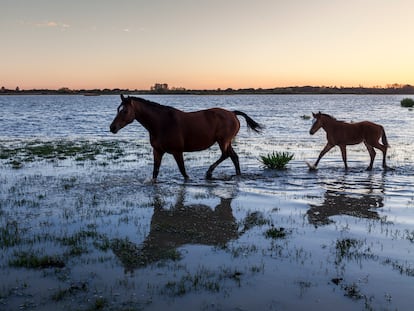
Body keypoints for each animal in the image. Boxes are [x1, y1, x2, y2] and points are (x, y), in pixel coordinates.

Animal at [110, 94, 262, 180]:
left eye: (124, 111)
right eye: (118, 109)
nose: (112, 127)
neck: (162, 123)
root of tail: (232, 113)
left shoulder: (177, 152)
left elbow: (183, 172)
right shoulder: (157, 151)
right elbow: (155, 172)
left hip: (223, 141)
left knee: (226, 155)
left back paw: (209, 172)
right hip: (226, 142)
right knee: (234, 157)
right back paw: (237, 175)